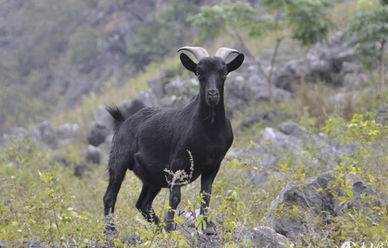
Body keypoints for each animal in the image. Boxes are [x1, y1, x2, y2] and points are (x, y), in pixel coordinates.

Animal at [103, 47, 242, 234]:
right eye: (199, 72)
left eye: (224, 72)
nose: (212, 94)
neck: (209, 132)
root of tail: (122, 122)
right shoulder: (177, 163)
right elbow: (175, 196)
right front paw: (170, 228)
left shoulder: (213, 165)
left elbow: (206, 193)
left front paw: (207, 226)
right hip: (119, 160)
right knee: (110, 195)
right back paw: (111, 231)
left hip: (152, 177)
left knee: (143, 203)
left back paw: (158, 227)